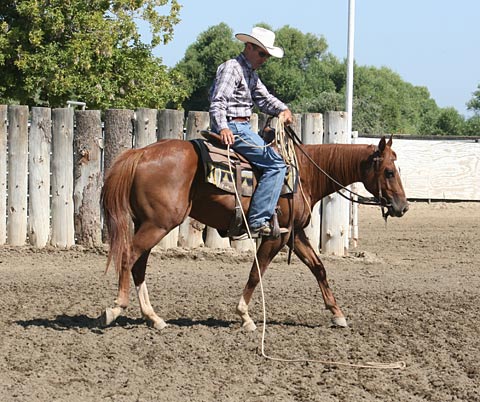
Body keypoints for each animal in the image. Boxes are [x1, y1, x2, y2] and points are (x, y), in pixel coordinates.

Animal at [100, 135, 408, 330]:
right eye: (389, 172)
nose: (403, 206)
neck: (304, 174)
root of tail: (140, 153)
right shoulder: (276, 235)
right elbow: (256, 271)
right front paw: (245, 316)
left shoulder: (294, 234)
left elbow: (318, 268)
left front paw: (338, 314)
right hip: (158, 224)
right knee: (128, 256)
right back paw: (116, 307)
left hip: (149, 223)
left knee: (138, 264)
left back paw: (153, 318)